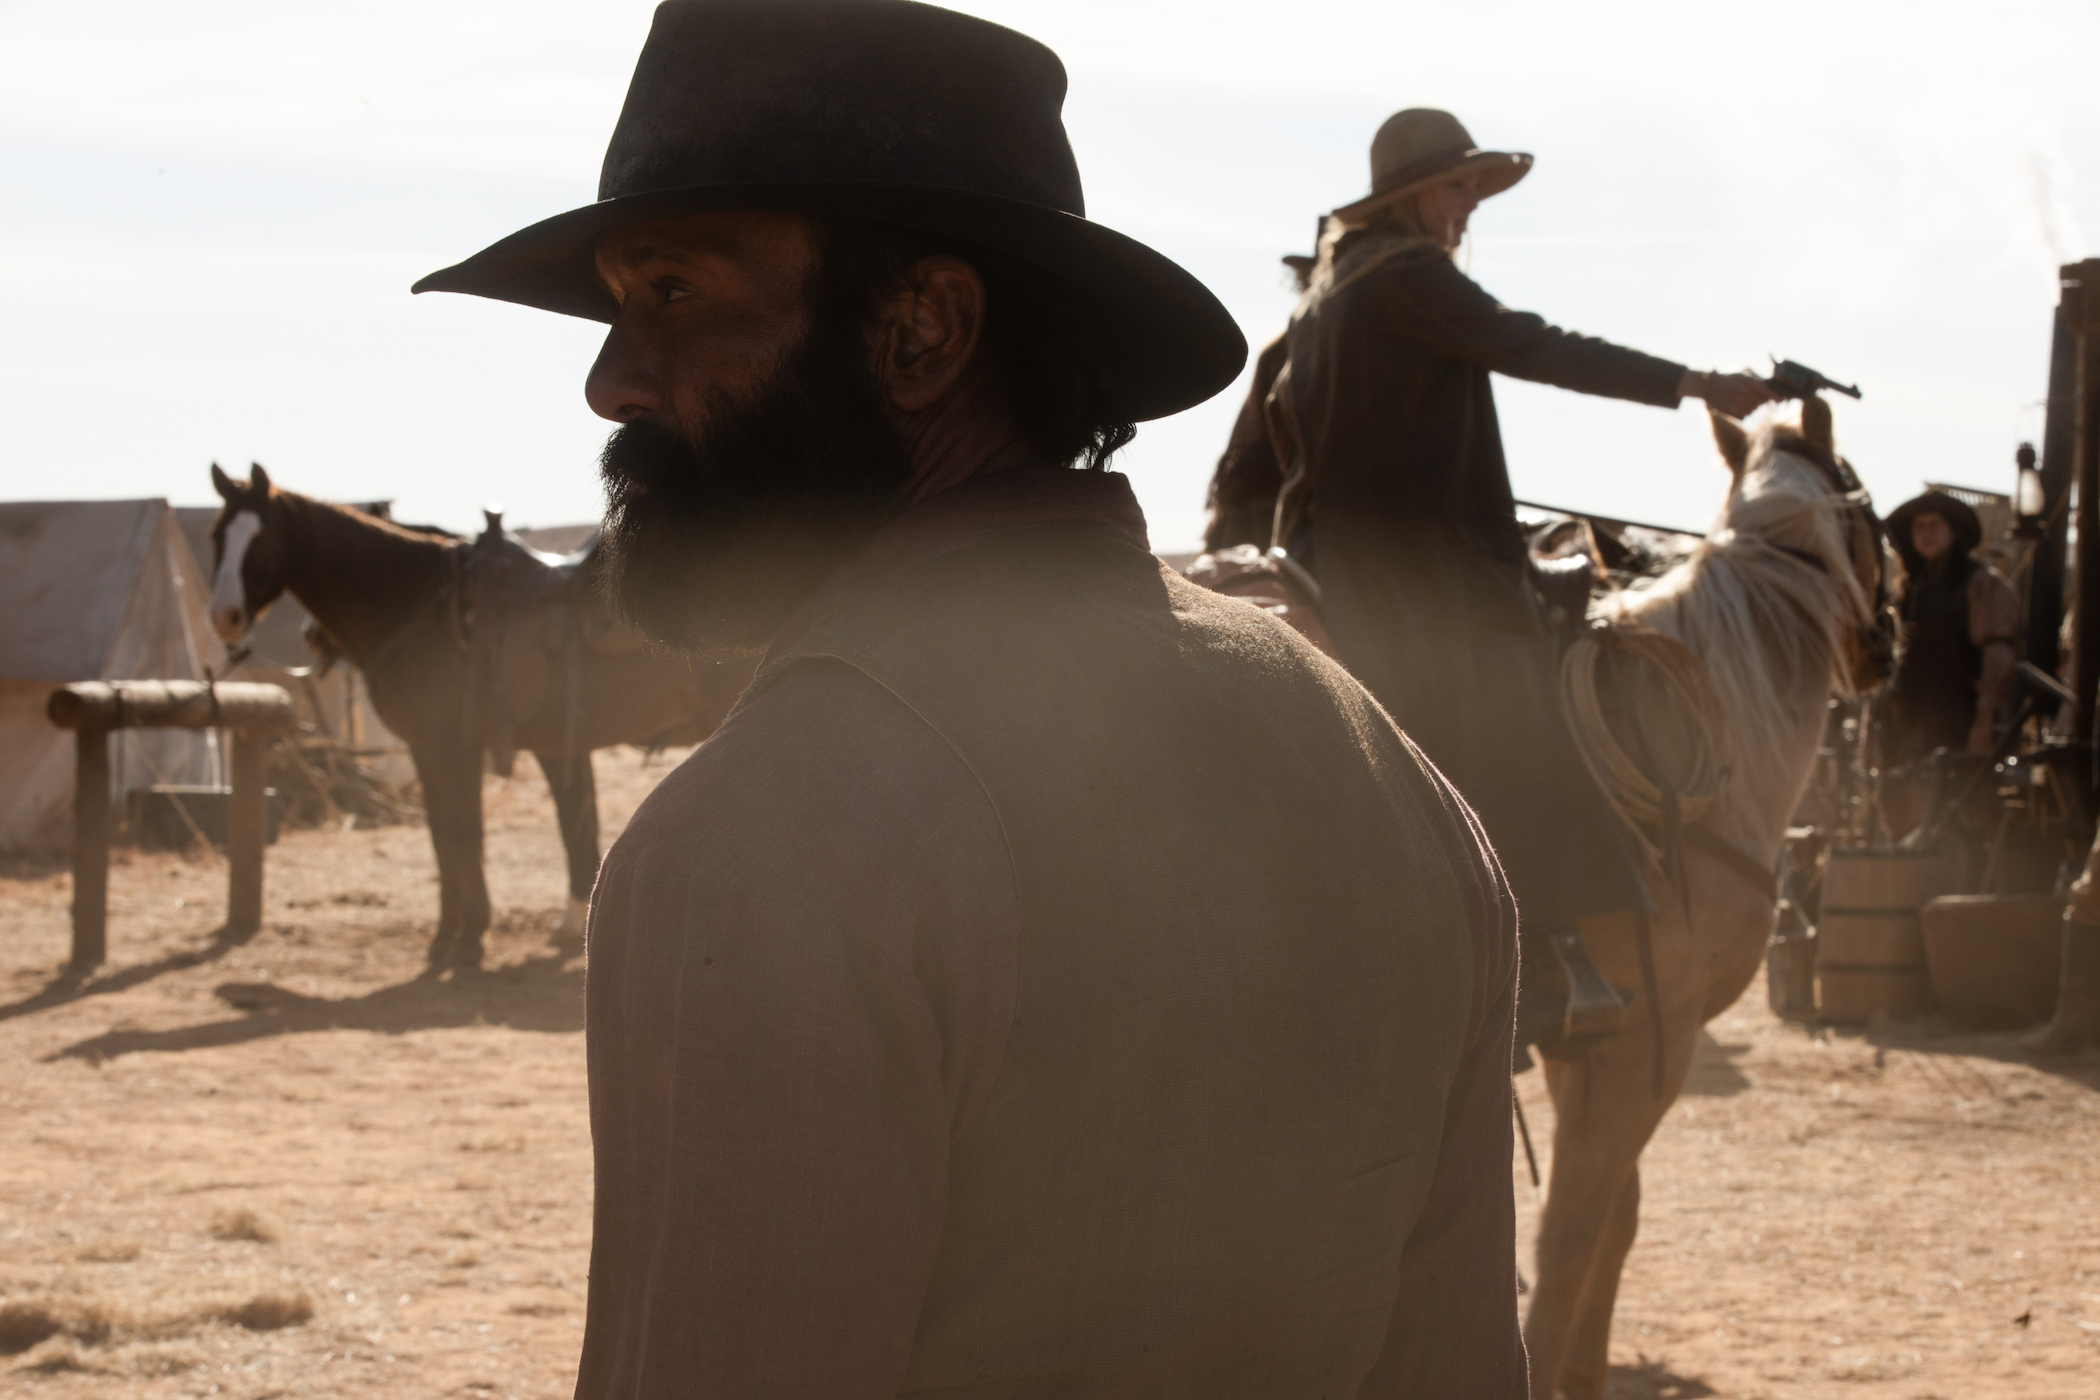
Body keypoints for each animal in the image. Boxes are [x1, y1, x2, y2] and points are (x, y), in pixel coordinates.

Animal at [211, 465, 755, 969]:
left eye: (260, 539)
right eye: (217, 535)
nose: (225, 617)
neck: (423, 607)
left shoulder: (456, 747)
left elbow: (465, 832)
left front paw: (470, 936)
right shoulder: (430, 749)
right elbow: (444, 836)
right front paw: (445, 935)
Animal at [1528, 398, 1889, 1393]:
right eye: (1867, 507)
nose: (1883, 646)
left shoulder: (1597, 1044)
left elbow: (1615, 1223)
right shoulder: (1650, 1040)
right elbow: (1572, 1239)